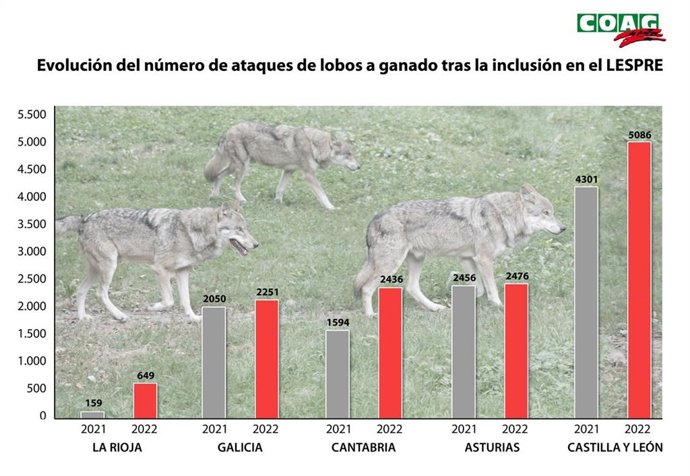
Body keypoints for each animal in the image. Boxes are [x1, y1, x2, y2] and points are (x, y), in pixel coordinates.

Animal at [56, 204, 259, 321]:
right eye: (240, 229)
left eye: (246, 228)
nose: (257, 244)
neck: (191, 232)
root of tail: (84, 218)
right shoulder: (160, 269)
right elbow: (169, 301)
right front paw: (152, 307)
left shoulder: (183, 271)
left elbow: (186, 300)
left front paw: (193, 318)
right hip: (109, 267)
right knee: (100, 293)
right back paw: (120, 315)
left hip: (97, 270)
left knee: (81, 290)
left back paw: (83, 318)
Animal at [204, 122, 360, 210]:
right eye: (348, 154)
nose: (359, 167)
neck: (314, 144)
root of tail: (226, 133)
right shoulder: (309, 175)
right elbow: (323, 195)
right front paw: (331, 208)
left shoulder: (288, 170)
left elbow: (280, 190)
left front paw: (278, 203)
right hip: (243, 167)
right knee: (233, 187)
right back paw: (243, 201)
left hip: (235, 167)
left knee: (218, 176)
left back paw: (214, 196)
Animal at [353, 184, 566, 316]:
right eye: (546, 213)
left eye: (552, 213)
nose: (563, 228)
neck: (503, 216)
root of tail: (374, 219)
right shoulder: (483, 259)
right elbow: (492, 289)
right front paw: (498, 306)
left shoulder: (467, 259)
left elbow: (479, 288)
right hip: (390, 266)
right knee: (366, 288)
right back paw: (371, 315)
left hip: (416, 260)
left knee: (412, 288)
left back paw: (436, 308)